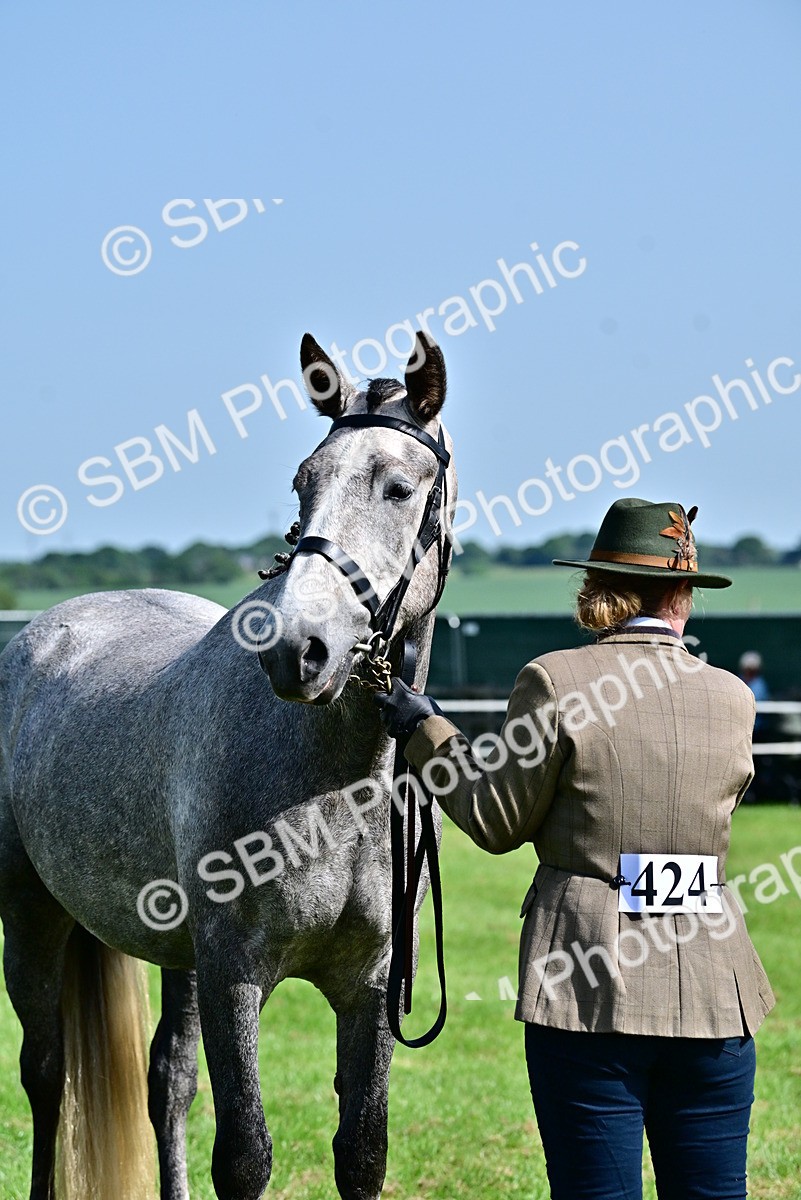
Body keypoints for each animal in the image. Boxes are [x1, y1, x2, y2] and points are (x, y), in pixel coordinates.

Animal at [0, 330, 456, 1200]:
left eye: (398, 487)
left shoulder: (369, 984)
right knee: (45, 1073)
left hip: (174, 954)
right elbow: (244, 1154)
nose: (299, 649)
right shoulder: (233, 974)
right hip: (33, 917)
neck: (336, 786)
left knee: (167, 1081)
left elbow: (362, 1151)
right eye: (304, 481)